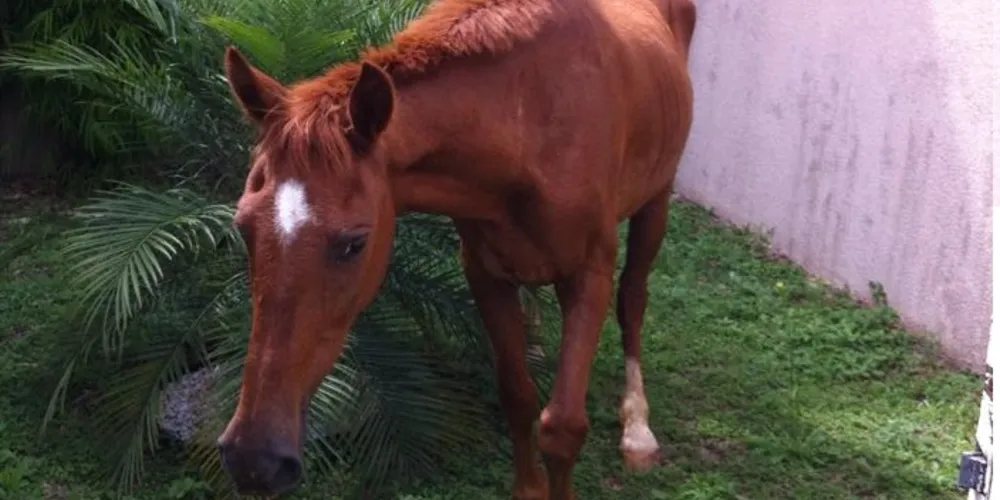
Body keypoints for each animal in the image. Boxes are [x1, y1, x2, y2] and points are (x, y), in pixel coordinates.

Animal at [216, 0, 696, 497]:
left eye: (354, 244)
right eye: (243, 228)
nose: (254, 459)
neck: (530, 121)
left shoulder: (588, 276)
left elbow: (563, 426)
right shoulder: (486, 275)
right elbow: (517, 395)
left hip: (656, 201)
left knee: (633, 298)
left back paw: (637, 430)